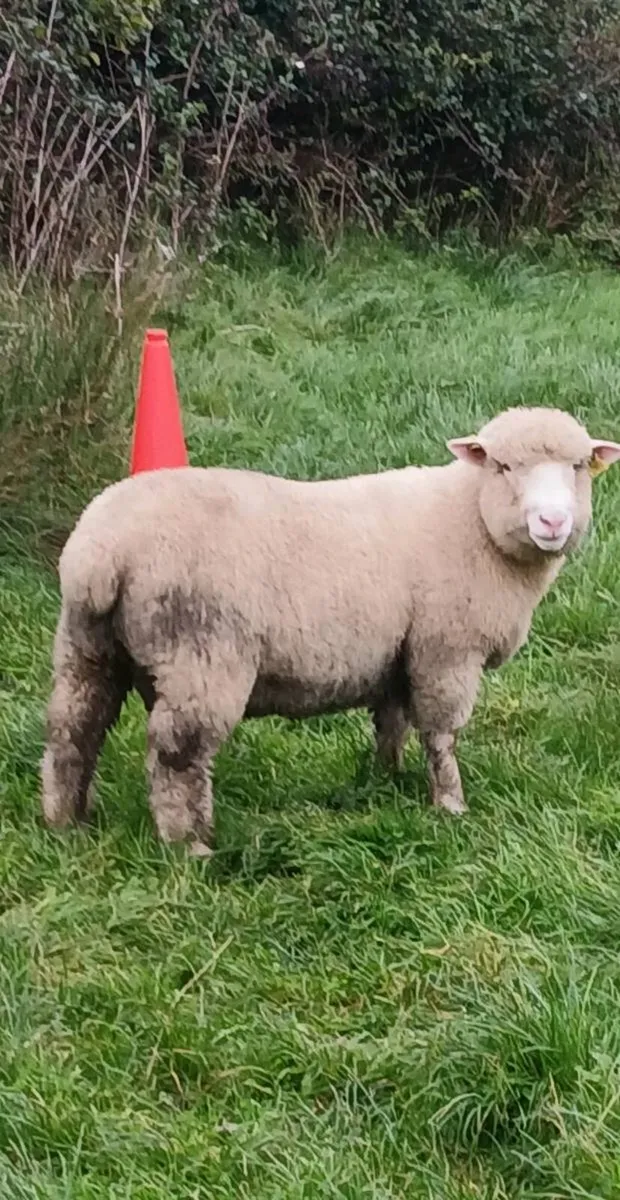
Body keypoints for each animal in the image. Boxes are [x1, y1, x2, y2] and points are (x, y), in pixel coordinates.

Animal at [41, 406, 620, 854]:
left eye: (577, 467)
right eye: (502, 466)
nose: (552, 522)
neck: (470, 519)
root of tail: (101, 552)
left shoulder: (399, 653)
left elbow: (392, 723)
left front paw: (387, 781)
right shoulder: (446, 651)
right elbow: (440, 734)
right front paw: (450, 804)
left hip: (88, 647)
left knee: (73, 729)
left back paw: (66, 822)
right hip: (201, 654)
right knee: (176, 754)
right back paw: (190, 845)